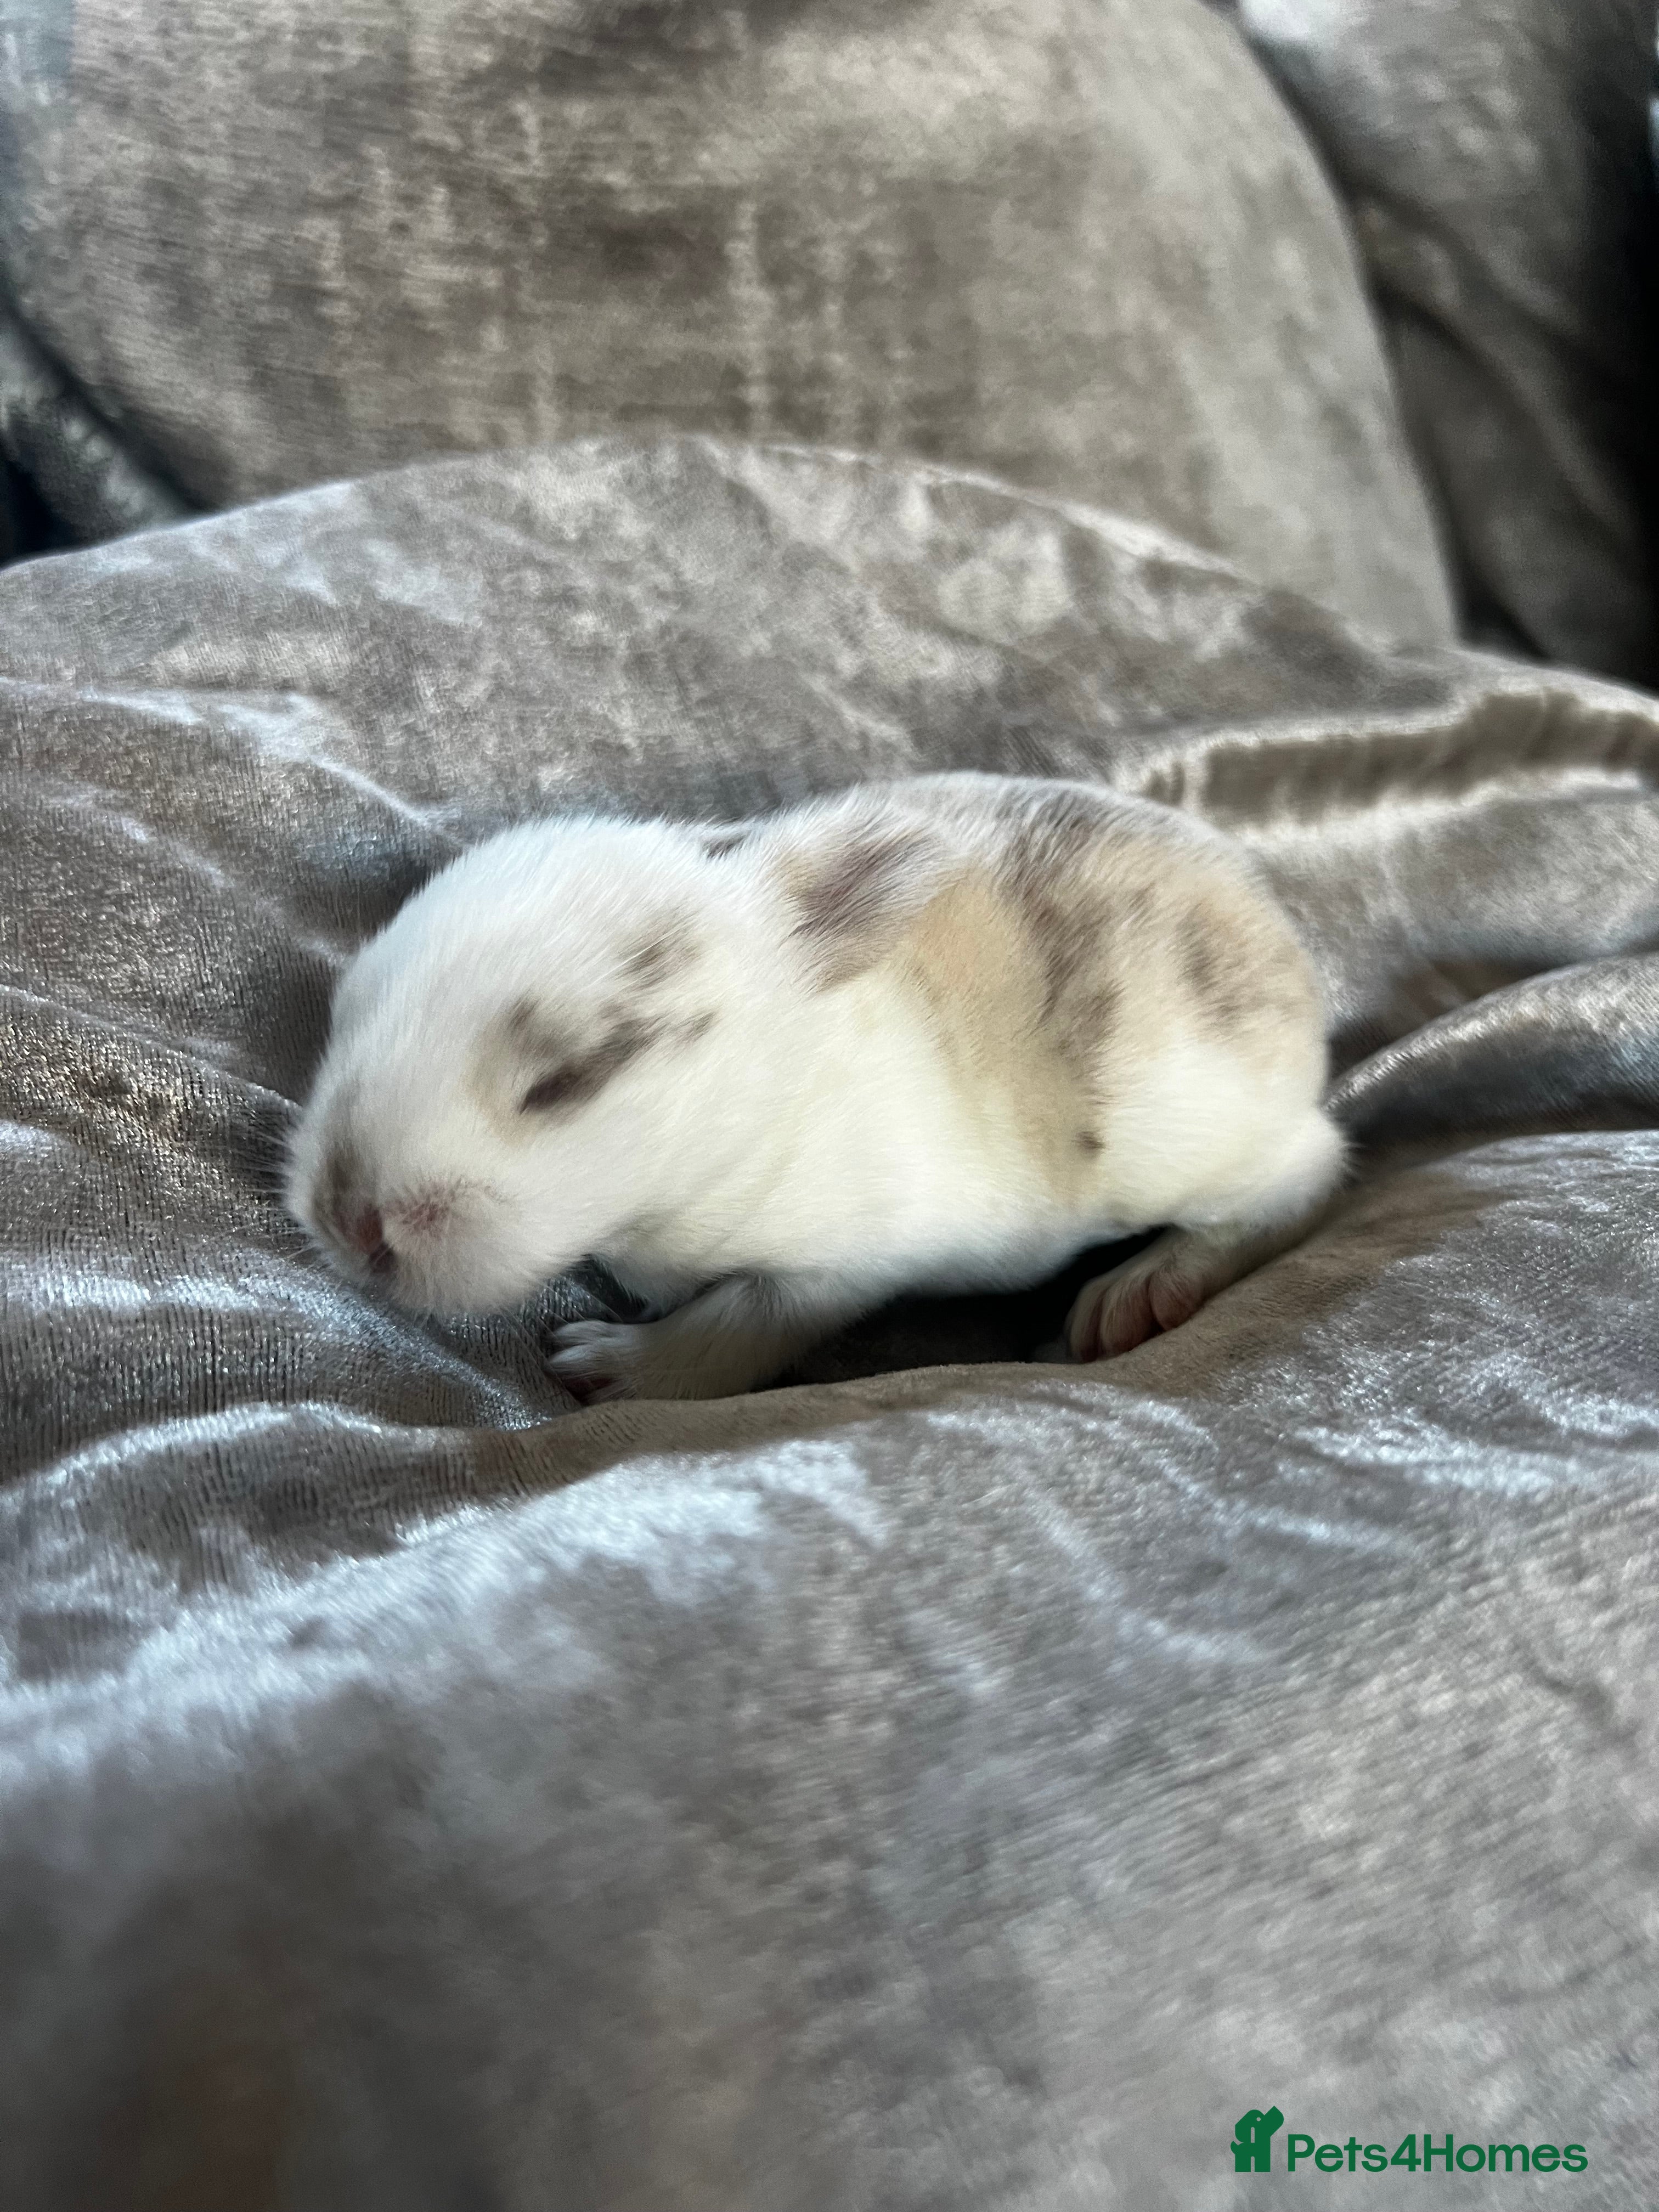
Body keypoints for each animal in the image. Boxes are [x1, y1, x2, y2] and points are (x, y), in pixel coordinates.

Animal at [286, 772, 1343, 1401]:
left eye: (568, 1078)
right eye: (344, 1011)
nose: (351, 1220)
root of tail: (1285, 954)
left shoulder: (828, 1271)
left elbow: (729, 1333)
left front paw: (602, 1368)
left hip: (1194, 1141)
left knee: (1308, 1174)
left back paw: (1137, 1292)